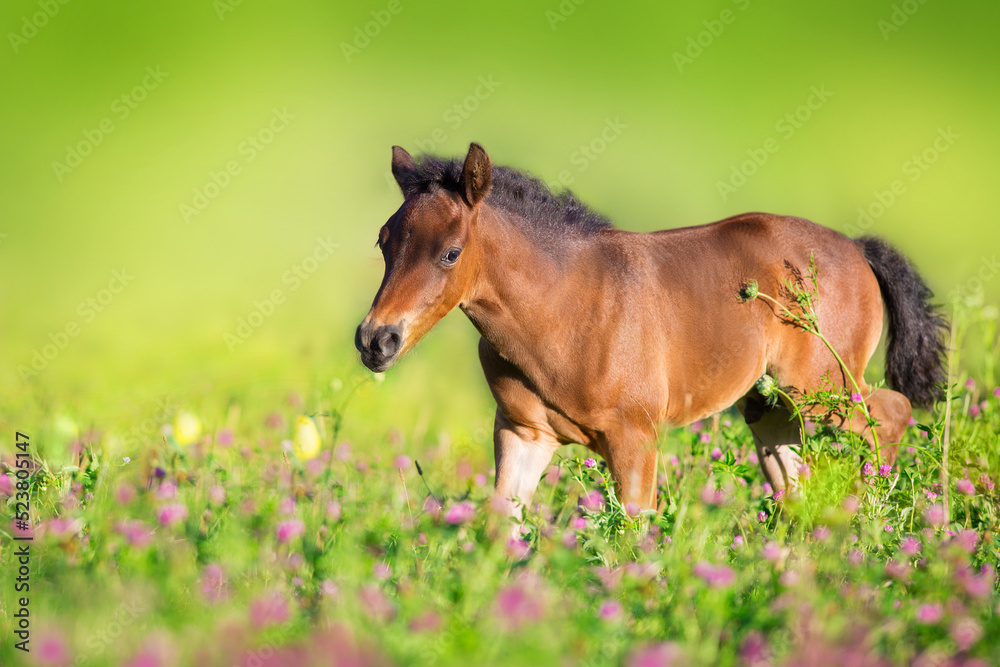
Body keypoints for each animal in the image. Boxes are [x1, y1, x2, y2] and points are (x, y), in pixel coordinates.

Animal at [355, 142, 947, 527]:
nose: (375, 341)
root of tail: (857, 248)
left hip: (823, 388)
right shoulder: (524, 433)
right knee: (794, 486)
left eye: (450, 253)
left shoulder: (634, 437)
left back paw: (874, 524)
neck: (561, 306)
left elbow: (634, 532)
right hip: (772, 408)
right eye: (384, 242)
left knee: (889, 414)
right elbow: (503, 524)